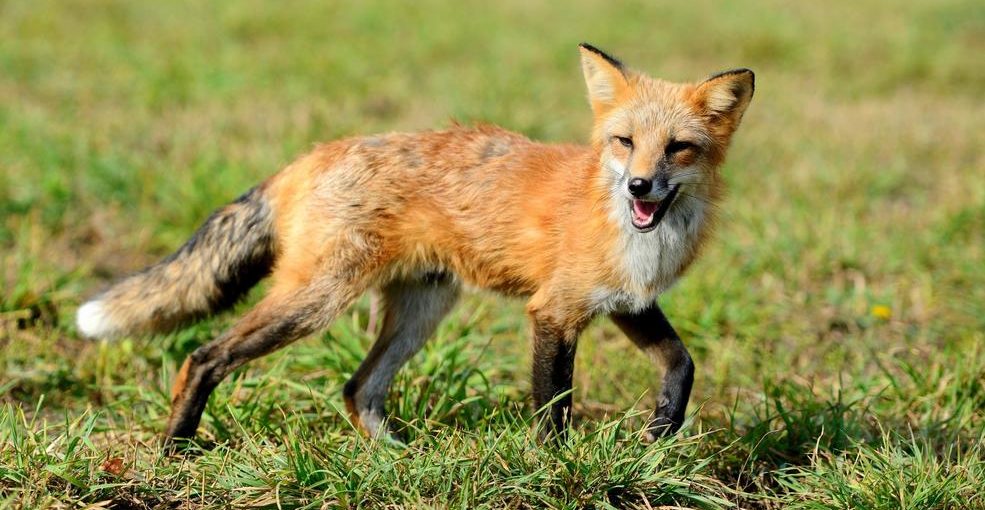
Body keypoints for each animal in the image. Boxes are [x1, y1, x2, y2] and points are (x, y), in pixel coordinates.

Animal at [77, 44, 752, 446]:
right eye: (624, 141)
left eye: (678, 149)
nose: (639, 185)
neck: (639, 236)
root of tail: (311, 155)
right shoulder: (555, 312)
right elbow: (553, 407)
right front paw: (557, 468)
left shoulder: (625, 302)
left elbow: (682, 364)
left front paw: (661, 432)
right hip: (316, 302)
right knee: (204, 356)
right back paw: (176, 448)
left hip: (421, 313)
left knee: (358, 389)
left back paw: (394, 460)